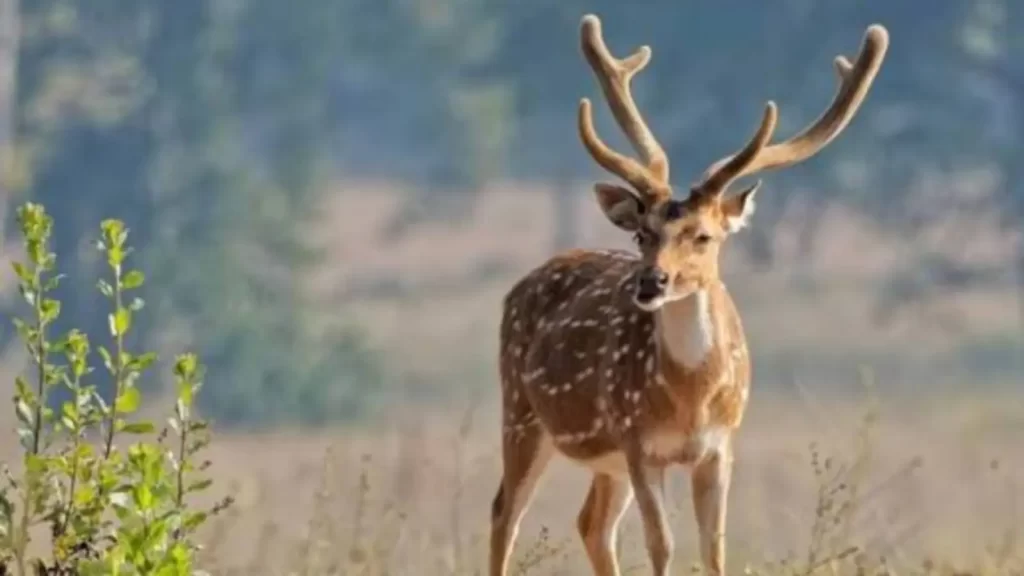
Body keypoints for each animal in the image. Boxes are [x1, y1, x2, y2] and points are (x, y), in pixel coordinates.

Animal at [489, 13, 889, 576]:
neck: (691, 400)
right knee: (505, 512)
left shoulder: (719, 448)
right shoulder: (638, 442)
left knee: (591, 524)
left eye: (704, 236)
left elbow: (713, 547)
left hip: (601, 458)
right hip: (521, 411)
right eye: (643, 234)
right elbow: (662, 546)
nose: (650, 282)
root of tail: (520, 285)